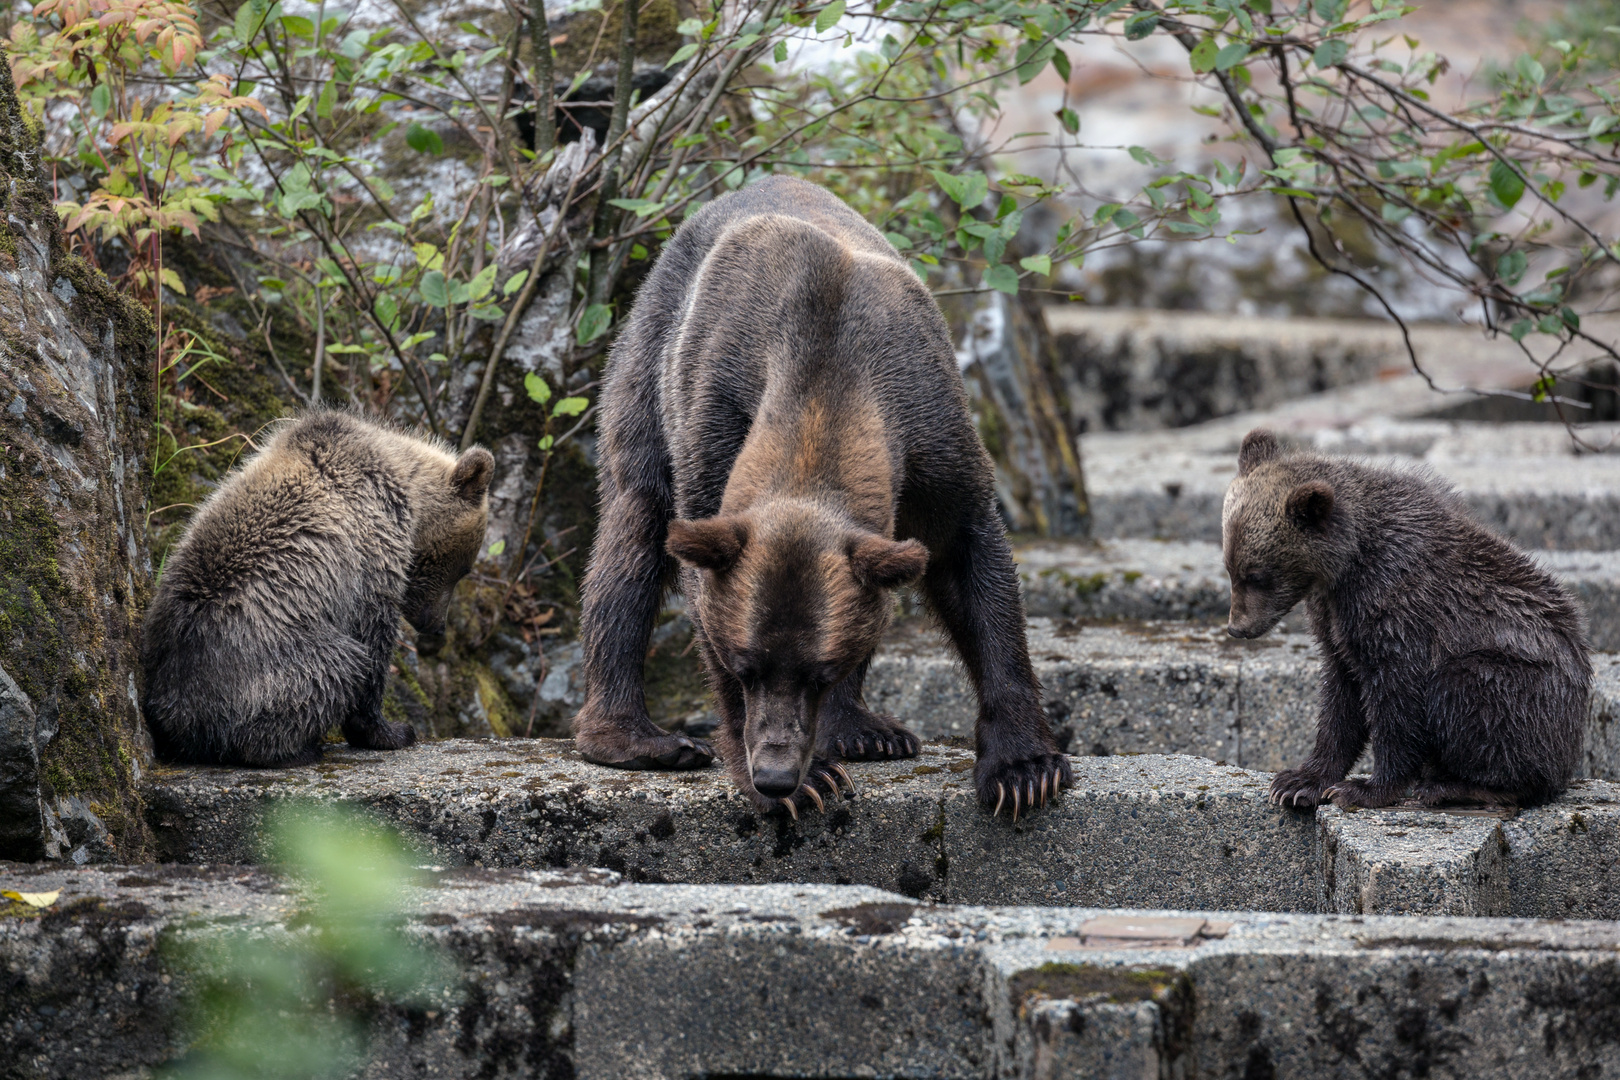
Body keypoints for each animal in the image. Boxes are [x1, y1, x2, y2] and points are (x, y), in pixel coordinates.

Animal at [576, 175, 1069, 819]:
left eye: (821, 670)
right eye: (746, 668)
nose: (776, 775)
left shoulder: (933, 435)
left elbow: (976, 575)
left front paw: (1023, 769)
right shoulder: (714, 430)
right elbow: (702, 586)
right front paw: (806, 780)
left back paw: (863, 731)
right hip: (646, 366)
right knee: (632, 532)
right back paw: (637, 738)